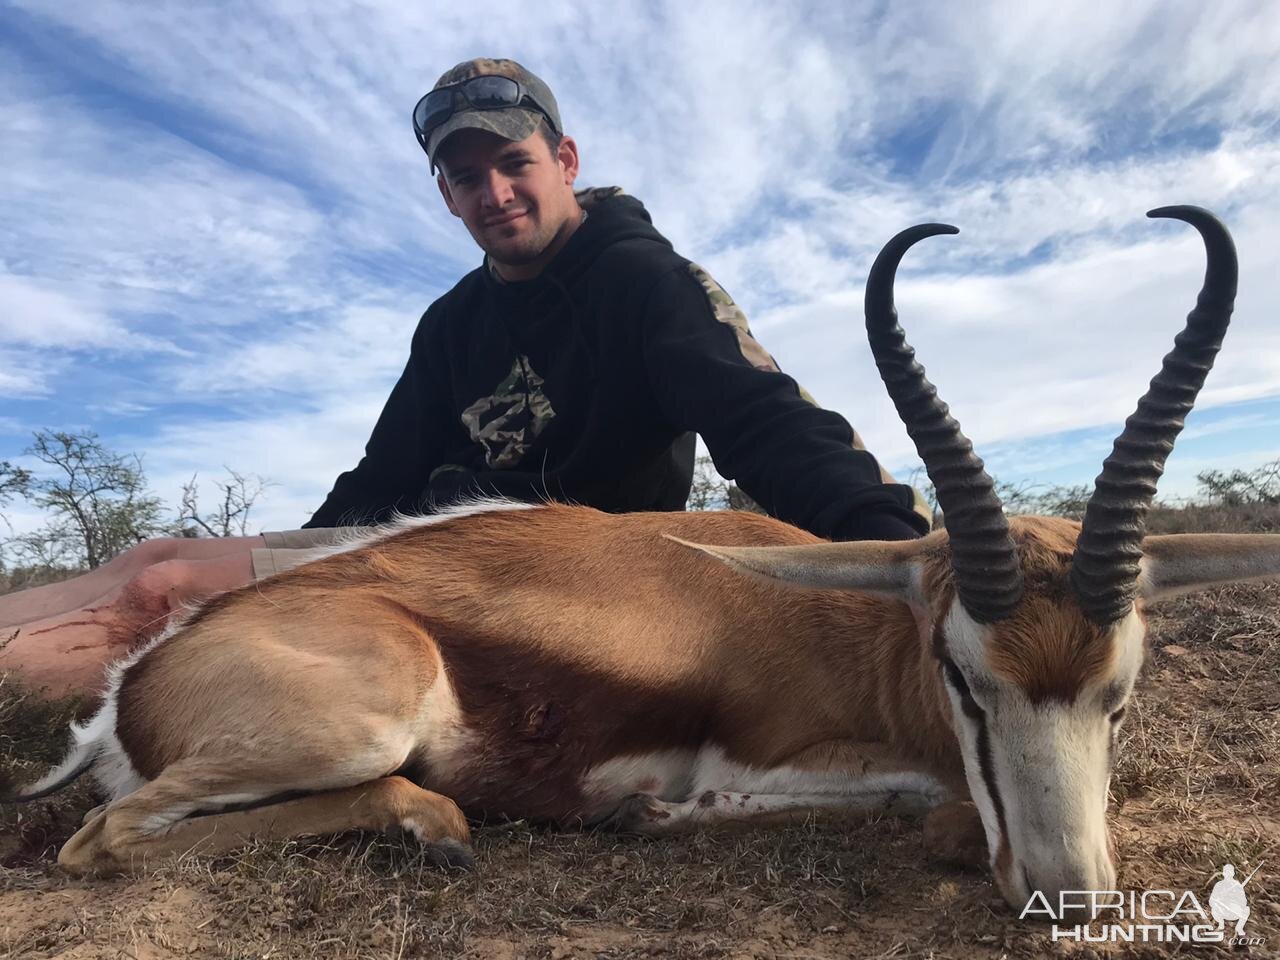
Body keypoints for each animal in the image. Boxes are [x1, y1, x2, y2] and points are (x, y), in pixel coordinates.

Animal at [2, 203, 1280, 911]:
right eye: (962, 677)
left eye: (1119, 693)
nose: (1070, 899)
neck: (852, 636)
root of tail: (130, 692)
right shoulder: (771, 756)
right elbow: (928, 807)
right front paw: (653, 817)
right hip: (355, 723)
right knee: (106, 840)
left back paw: (436, 830)